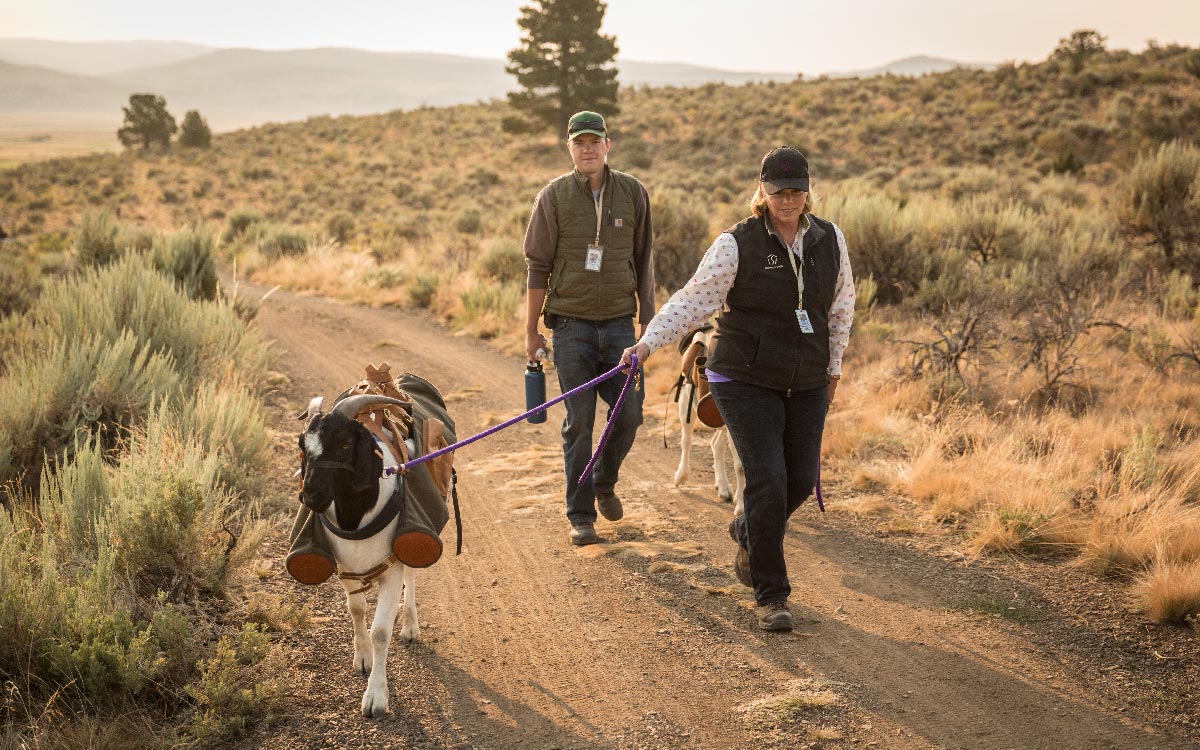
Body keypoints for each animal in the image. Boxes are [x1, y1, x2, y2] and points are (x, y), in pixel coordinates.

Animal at [298, 393, 419, 718]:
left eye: (343, 444)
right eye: (303, 446)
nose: (310, 495)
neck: (358, 515)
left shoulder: (391, 570)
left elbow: (381, 632)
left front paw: (376, 697)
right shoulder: (345, 568)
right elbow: (356, 609)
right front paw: (362, 658)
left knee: (413, 575)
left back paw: (410, 626)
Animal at [672, 328, 745, 517]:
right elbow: (741, 467)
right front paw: (741, 508)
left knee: (716, 444)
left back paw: (724, 489)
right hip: (687, 405)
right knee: (686, 441)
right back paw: (681, 476)